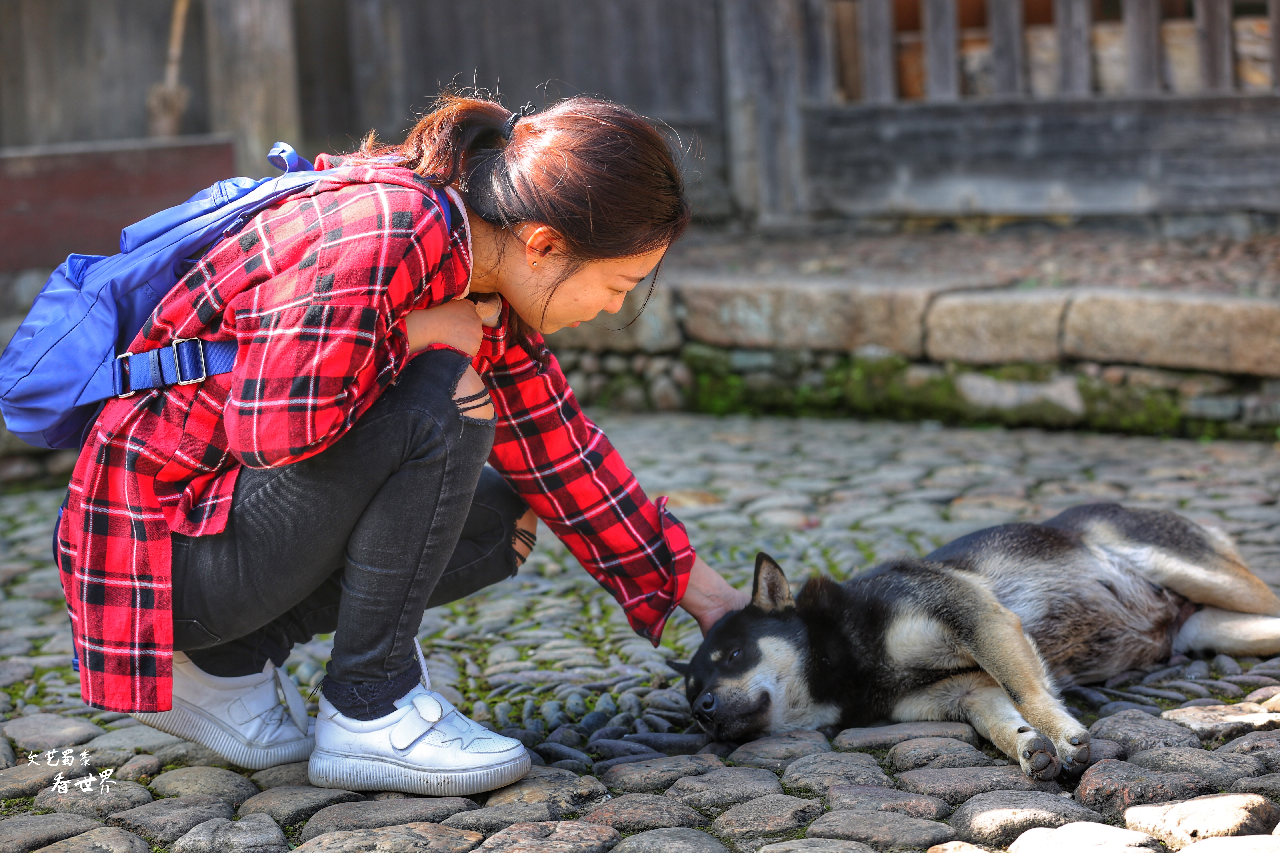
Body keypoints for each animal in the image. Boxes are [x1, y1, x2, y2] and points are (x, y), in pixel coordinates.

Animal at [670, 502, 1280, 778]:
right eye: (692, 692)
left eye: (735, 654)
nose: (704, 711)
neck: (845, 654)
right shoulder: (964, 690)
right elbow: (999, 717)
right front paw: (1027, 746)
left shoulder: (980, 619)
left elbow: (1027, 690)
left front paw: (1062, 735)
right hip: (1216, 627)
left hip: (1201, 574)